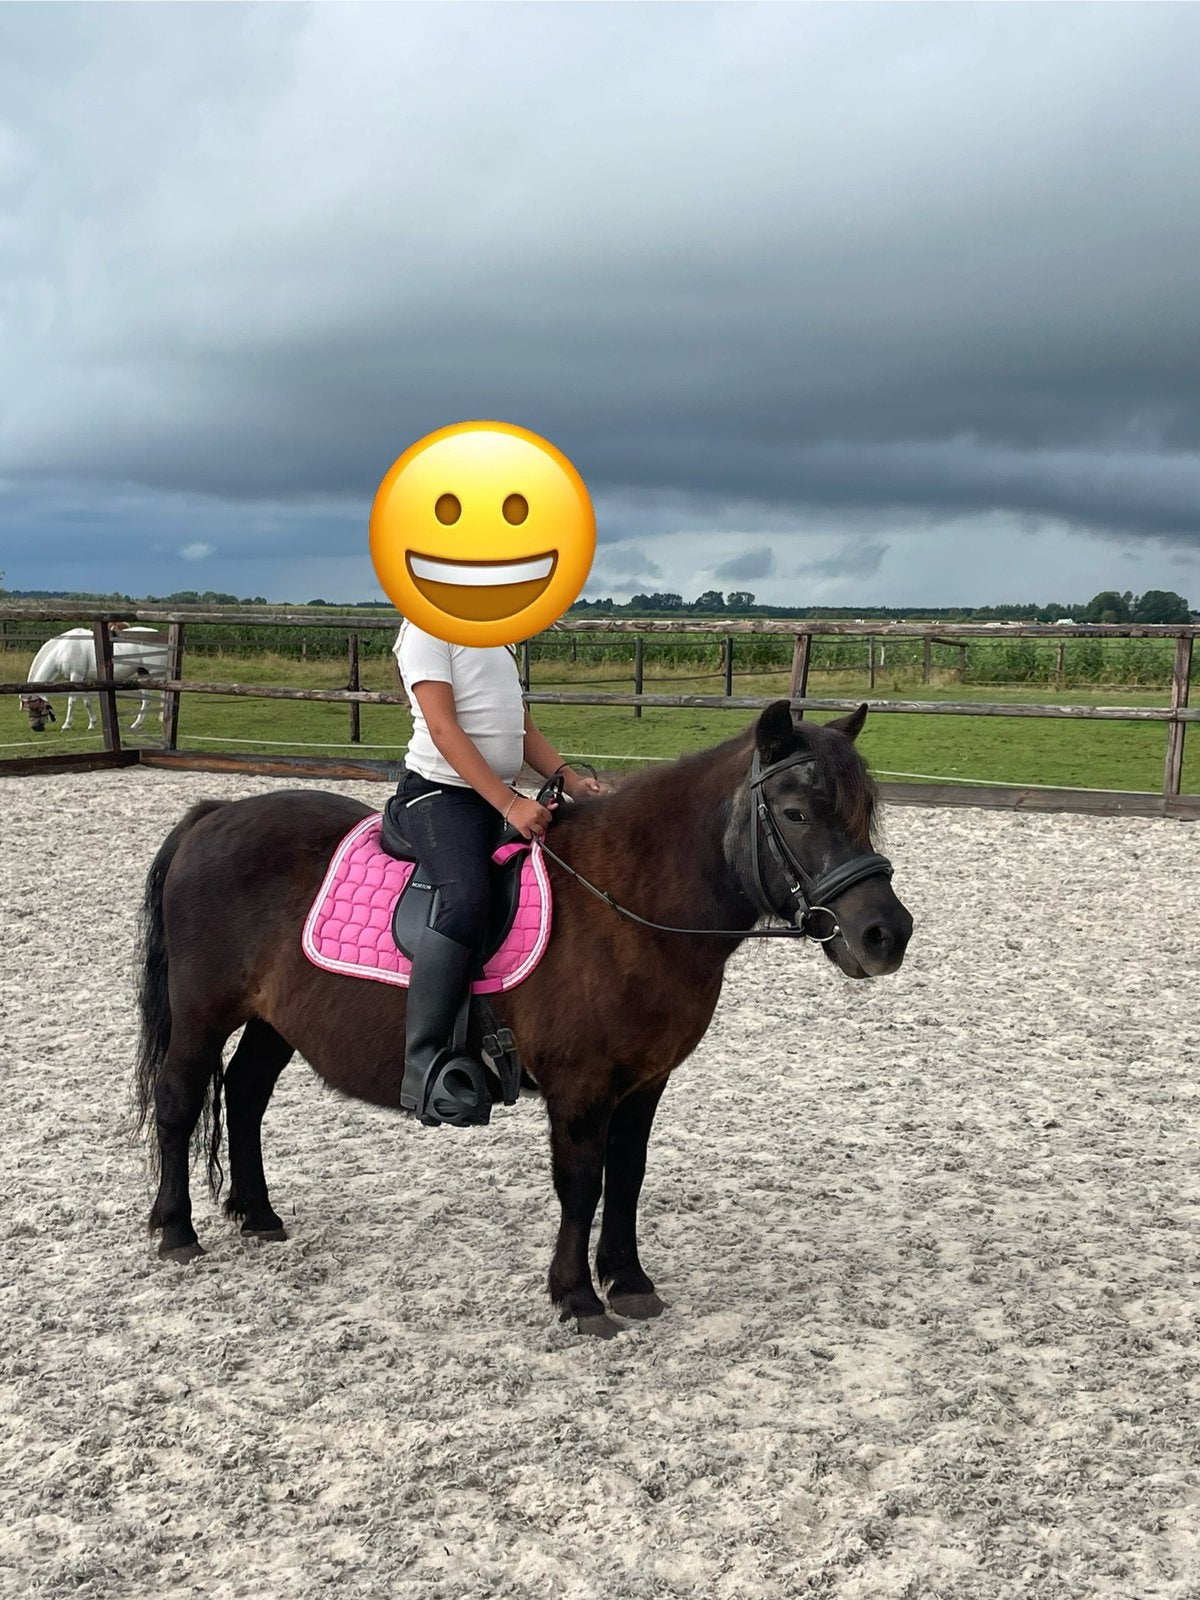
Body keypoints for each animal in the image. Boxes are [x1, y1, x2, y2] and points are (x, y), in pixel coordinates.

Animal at [21, 625, 168, 733]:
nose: (36, 728)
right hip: (143, 673)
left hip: (156, 674)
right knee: (147, 700)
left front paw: (66, 725)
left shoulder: (76, 676)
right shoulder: (82, 679)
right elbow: (87, 702)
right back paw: (138, 724)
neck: (64, 649)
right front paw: (92, 724)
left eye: (34, 706)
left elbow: (71, 701)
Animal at [134, 700, 913, 1336]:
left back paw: (259, 1215)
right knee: (179, 1100)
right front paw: (577, 1297)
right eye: (797, 813)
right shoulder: (580, 1085)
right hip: (204, 1012)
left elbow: (627, 1174)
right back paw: (176, 1231)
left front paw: (629, 1281)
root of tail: (214, 814)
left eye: (864, 810)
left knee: (244, 1093)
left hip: (275, 1018)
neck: (624, 907)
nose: (887, 935)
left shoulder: (644, 1081)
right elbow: (582, 1182)